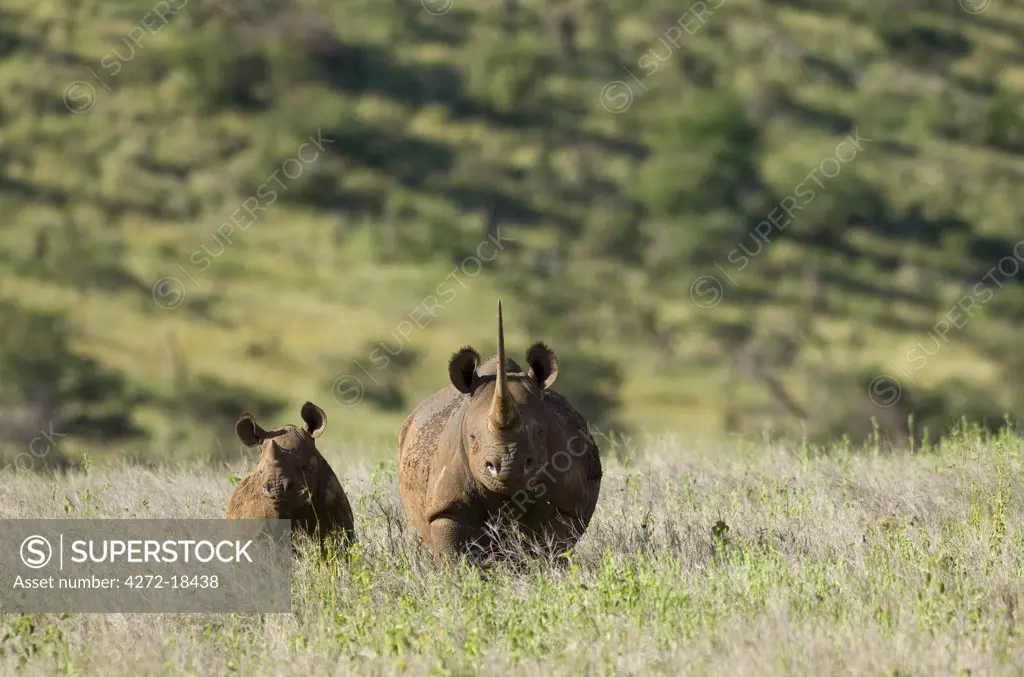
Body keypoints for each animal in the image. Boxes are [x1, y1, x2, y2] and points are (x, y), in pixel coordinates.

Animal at [393, 303, 598, 561]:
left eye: (540, 433)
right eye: (472, 437)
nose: (509, 466)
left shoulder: (565, 507)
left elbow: (548, 548)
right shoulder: (446, 507)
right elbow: (456, 554)